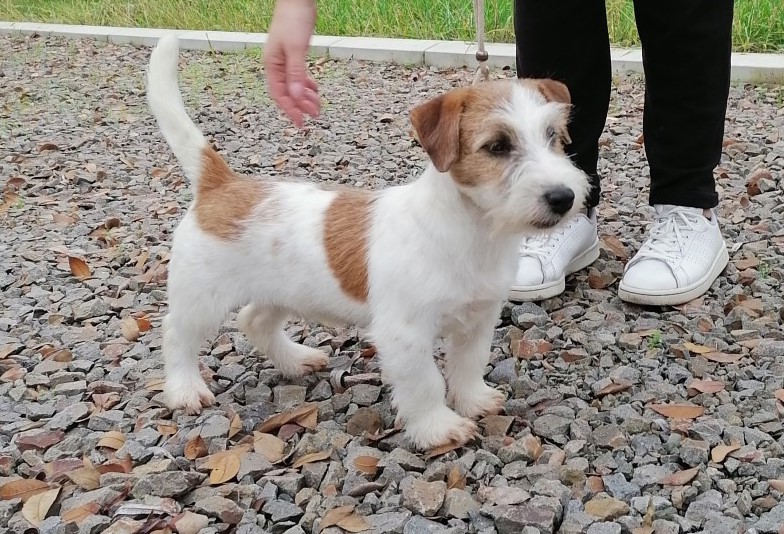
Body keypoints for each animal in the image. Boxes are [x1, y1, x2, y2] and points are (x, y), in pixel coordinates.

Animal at [147, 34, 588, 452]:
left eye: (552, 136)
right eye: (497, 146)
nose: (564, 197)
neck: (473, 233)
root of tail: (221, 184)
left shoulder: (478, 320)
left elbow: (468, 364)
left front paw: (473, 400)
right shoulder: (405, 334)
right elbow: (425, 383)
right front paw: (437, 427)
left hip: (281, 291)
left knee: (254, 320)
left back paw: (296, 360)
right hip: (202, 298)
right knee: (176, 334)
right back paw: (185, 389)